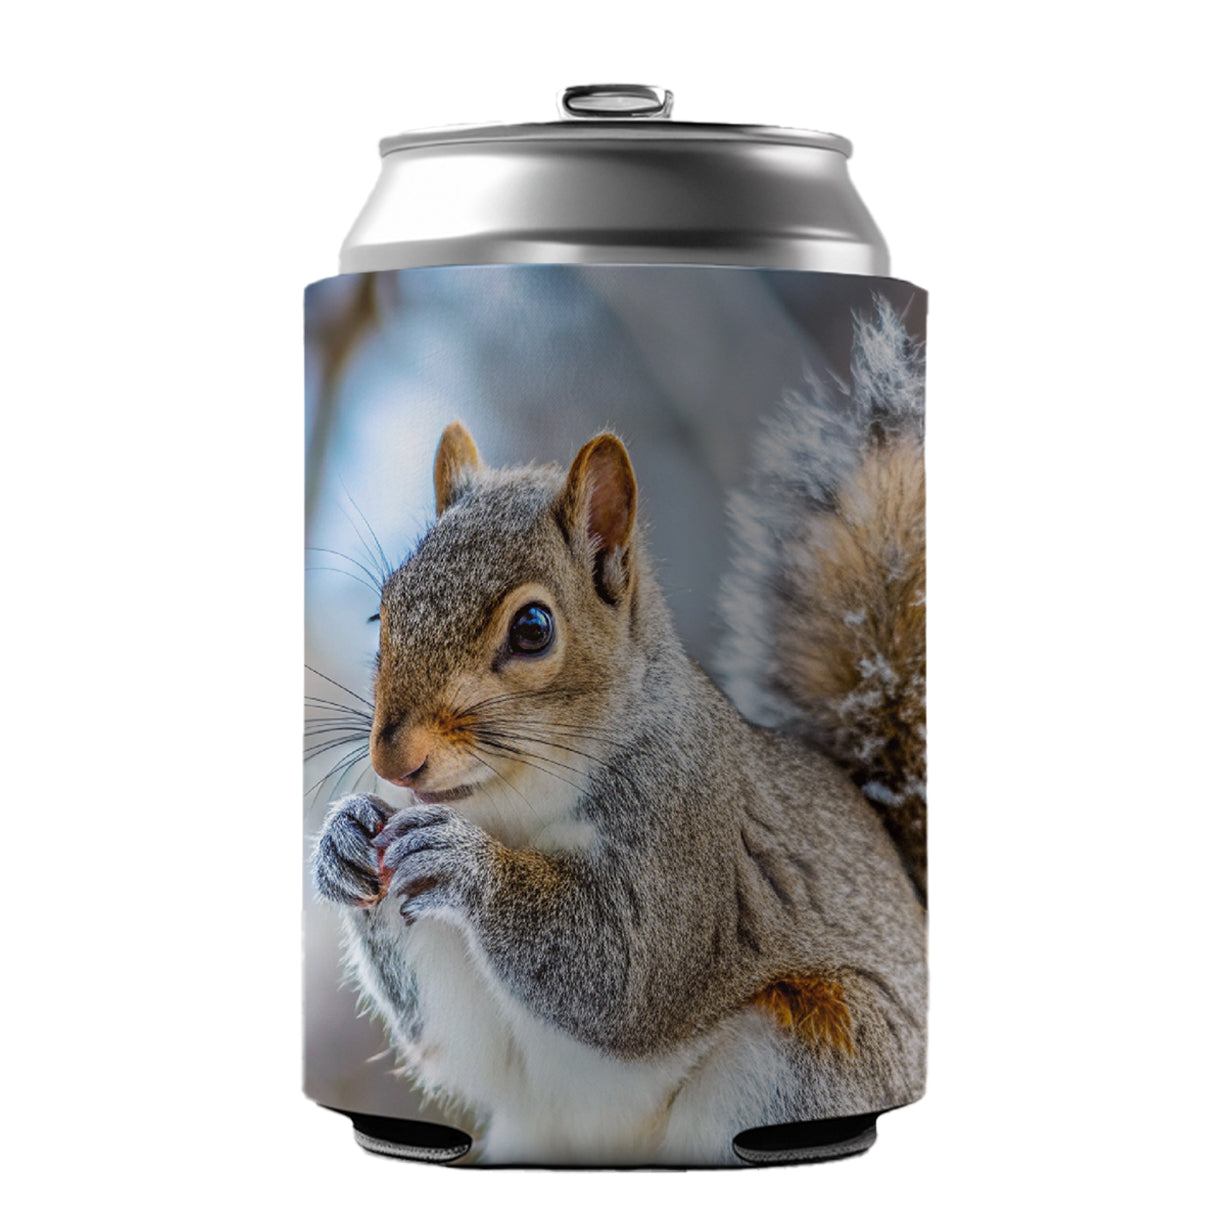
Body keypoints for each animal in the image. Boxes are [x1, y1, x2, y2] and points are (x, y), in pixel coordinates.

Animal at [312, 300, 927, 1165]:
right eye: (381, 613)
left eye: (533, 628)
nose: (391, 759)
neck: (512, 804)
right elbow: (450, 1031)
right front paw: (344, 837)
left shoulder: (691, 843)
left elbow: (626, 975)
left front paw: (466, 864)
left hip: (809, 1048)